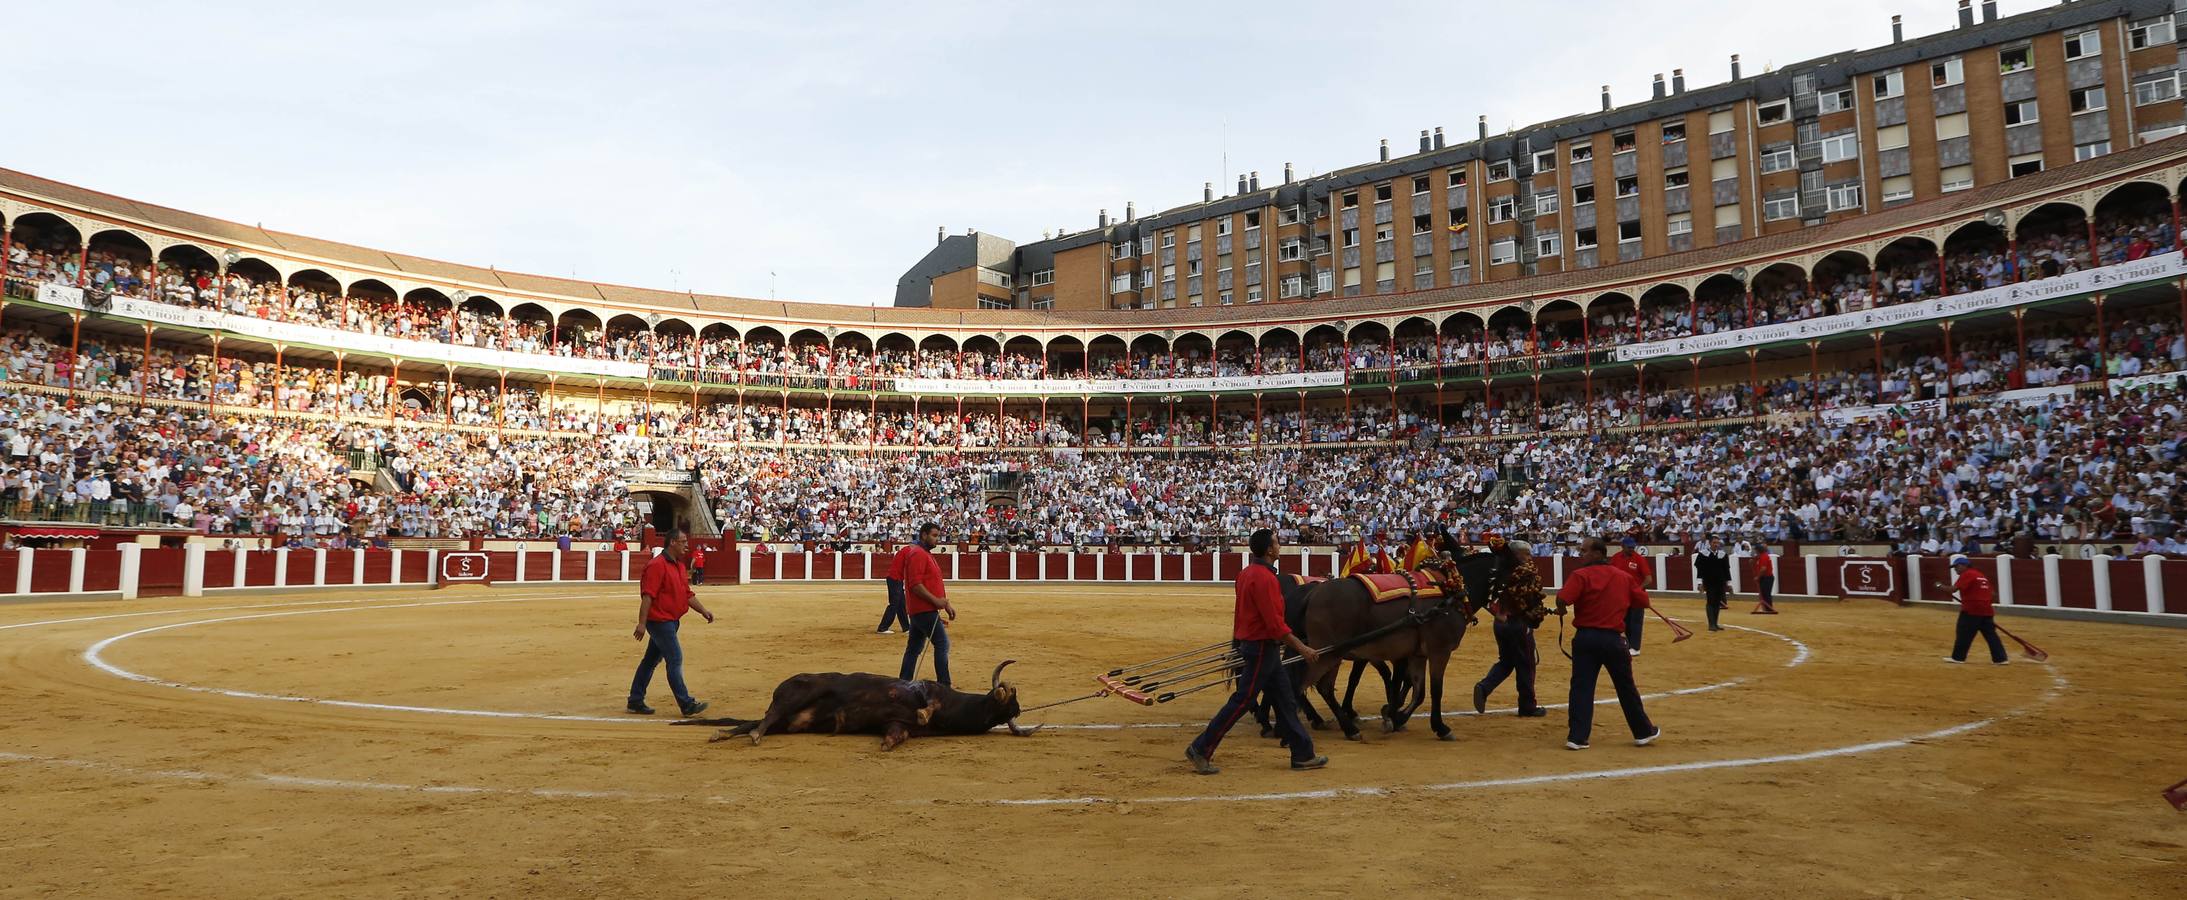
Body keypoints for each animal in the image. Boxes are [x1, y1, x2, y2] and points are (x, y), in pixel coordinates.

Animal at [669, 655, 1036, 747]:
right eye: (1006, 704)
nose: (1018, 710)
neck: (954, 709)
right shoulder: (926, 692)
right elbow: (923, 704)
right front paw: (923, 713)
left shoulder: (897, 724)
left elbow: (895, 735)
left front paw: (886, 745)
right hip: (800, 693)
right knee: (767, 716)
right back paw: (753, 737)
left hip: (790, 723)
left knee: (753, 722)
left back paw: (722, 734)